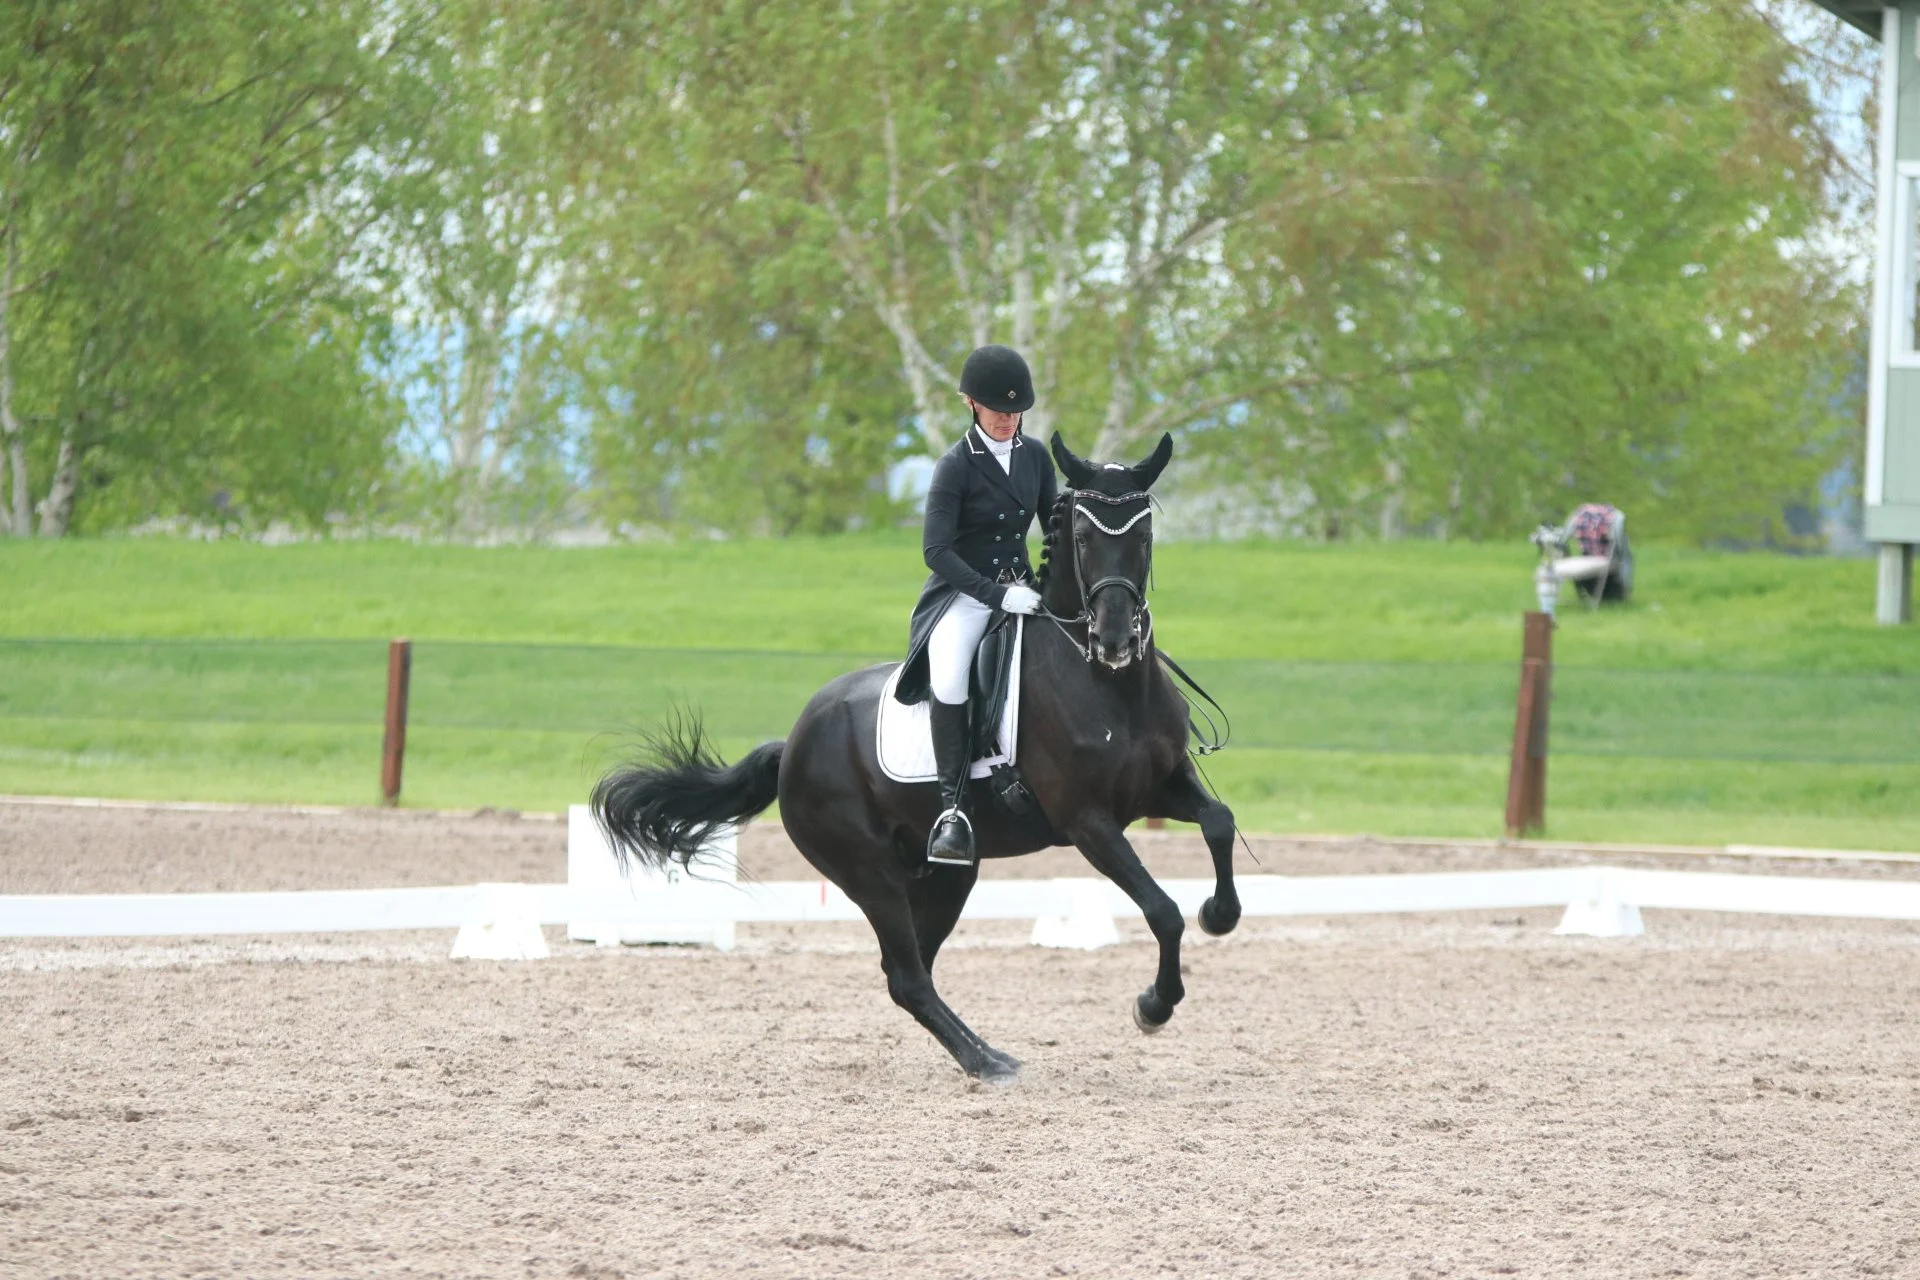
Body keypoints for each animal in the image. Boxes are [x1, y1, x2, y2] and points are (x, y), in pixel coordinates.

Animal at [590, 432, 1243, 1083]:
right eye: (1083, 538)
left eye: (1144, 537)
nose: (1114, 641)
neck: (1108, 687)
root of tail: (793, 743)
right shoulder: (1087, 822)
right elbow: (1162, 909)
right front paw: (1153, 1007)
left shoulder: (1161, 785)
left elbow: (1219, 821)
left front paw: (1220, 913)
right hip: (869, 873)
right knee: (907, 976)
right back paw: (985, 1062)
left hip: (946, 873)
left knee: (916, 969)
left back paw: (988, 1053)